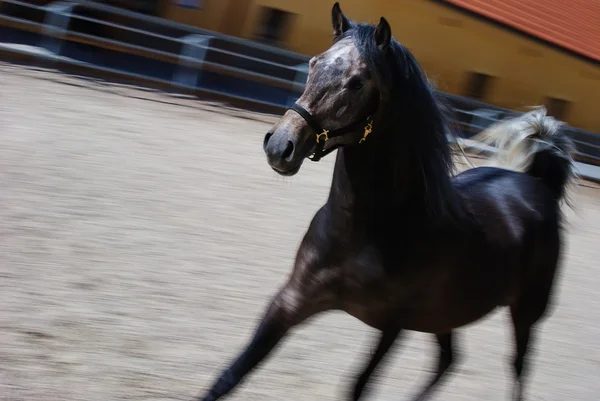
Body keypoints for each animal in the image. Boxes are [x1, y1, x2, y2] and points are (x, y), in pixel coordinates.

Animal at [195, 3, 576, 400]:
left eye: (358, 82)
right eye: (314, 63)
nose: (280, 145)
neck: (361, 233)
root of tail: (538, 183)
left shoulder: (392, 326)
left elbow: (357, 387)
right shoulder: (291, 301)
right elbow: (230, 375)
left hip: (523, 312)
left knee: (516, 368)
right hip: (445, 314)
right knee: (449, 360)